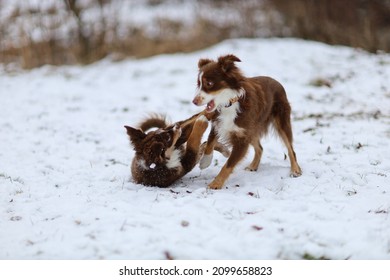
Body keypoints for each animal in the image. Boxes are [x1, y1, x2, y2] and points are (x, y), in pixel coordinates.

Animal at [192, 53, 302, 189]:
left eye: (209, 83)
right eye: (199, 83)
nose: (194, 101)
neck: (229, 103)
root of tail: (277, 82)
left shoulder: (242, 137)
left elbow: (228, 164)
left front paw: (215, 183)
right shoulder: (219, 123)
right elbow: (210, 142)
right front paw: (205, 162)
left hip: (280, 121)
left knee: (290, 149)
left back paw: (295, 170)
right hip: (253, 127)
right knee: (260, 148)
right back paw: (253, 166)